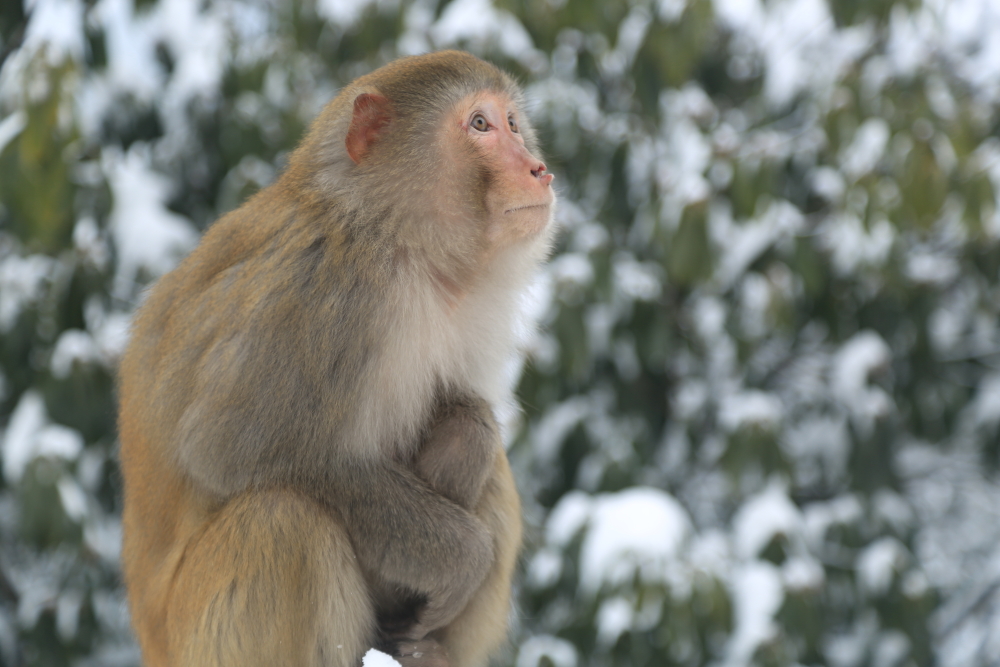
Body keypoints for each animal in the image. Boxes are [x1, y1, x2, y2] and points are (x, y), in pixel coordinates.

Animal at [119, 51, 556, 667]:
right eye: (479, 125)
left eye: (513, 124)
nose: (539, 170)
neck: (395, 238)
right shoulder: (322, 292)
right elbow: (227, 448)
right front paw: (466, 558)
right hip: (199, 639)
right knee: (282, 521)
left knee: (472, 428)